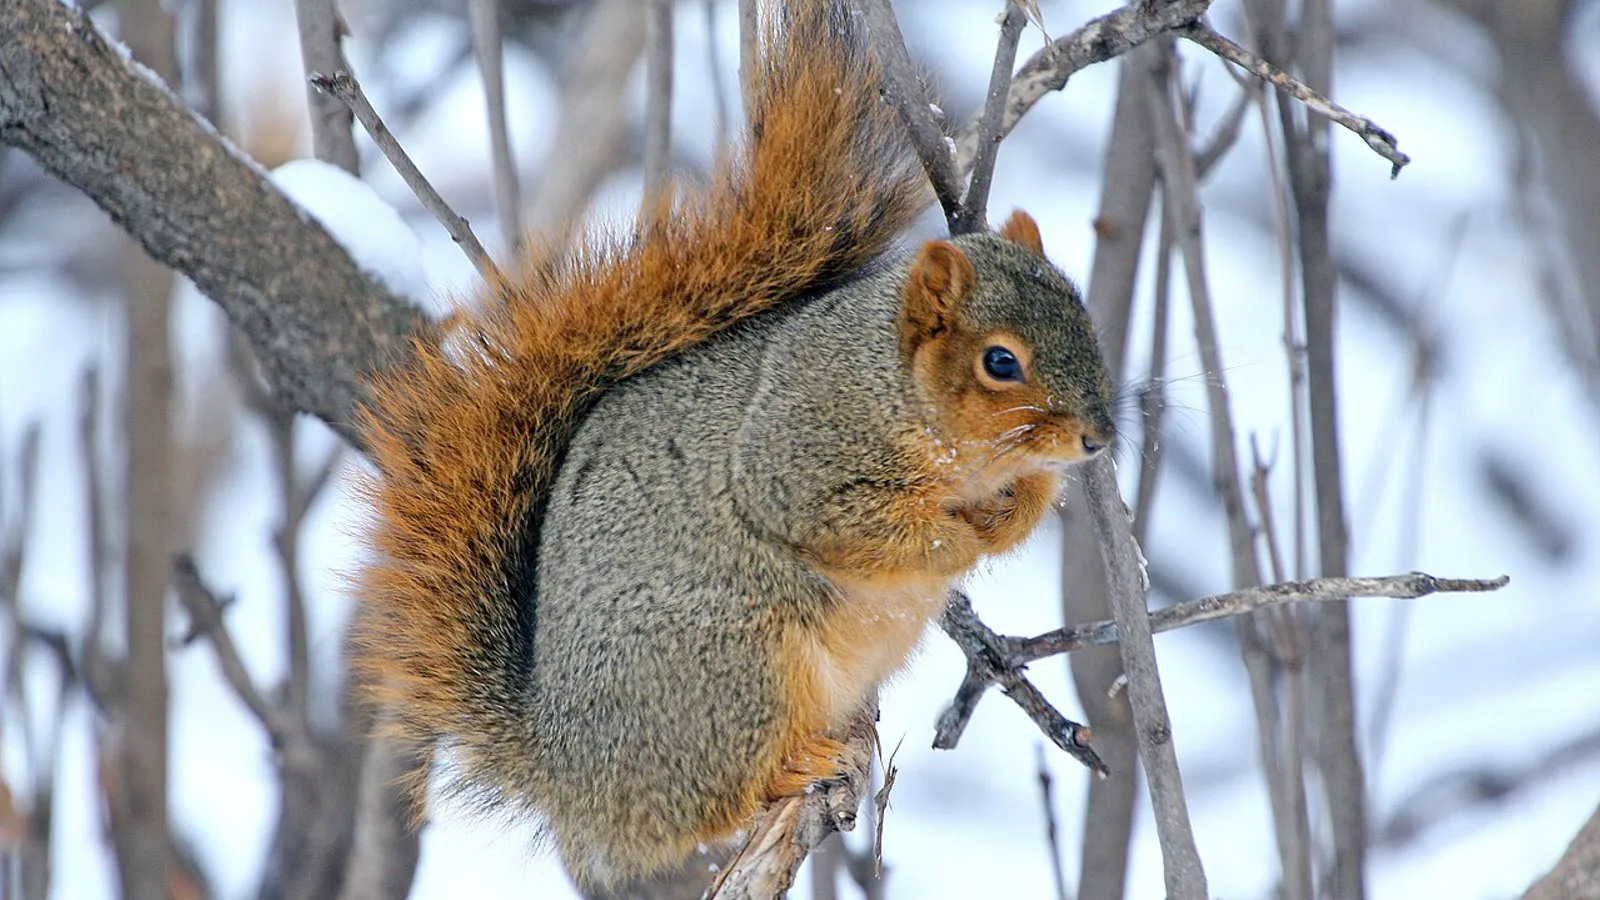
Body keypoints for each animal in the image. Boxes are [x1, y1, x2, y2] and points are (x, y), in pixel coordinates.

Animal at [353, 0, 1115, 887]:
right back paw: (789, 769)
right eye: (1000, 362)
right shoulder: (798, 456)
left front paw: (1016, 512)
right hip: (734, 669)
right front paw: (959, 538)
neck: (901, 393)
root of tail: (566, 773)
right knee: (708, 807)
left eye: (1084, 314)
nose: (1098, 438)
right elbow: (862, 528)